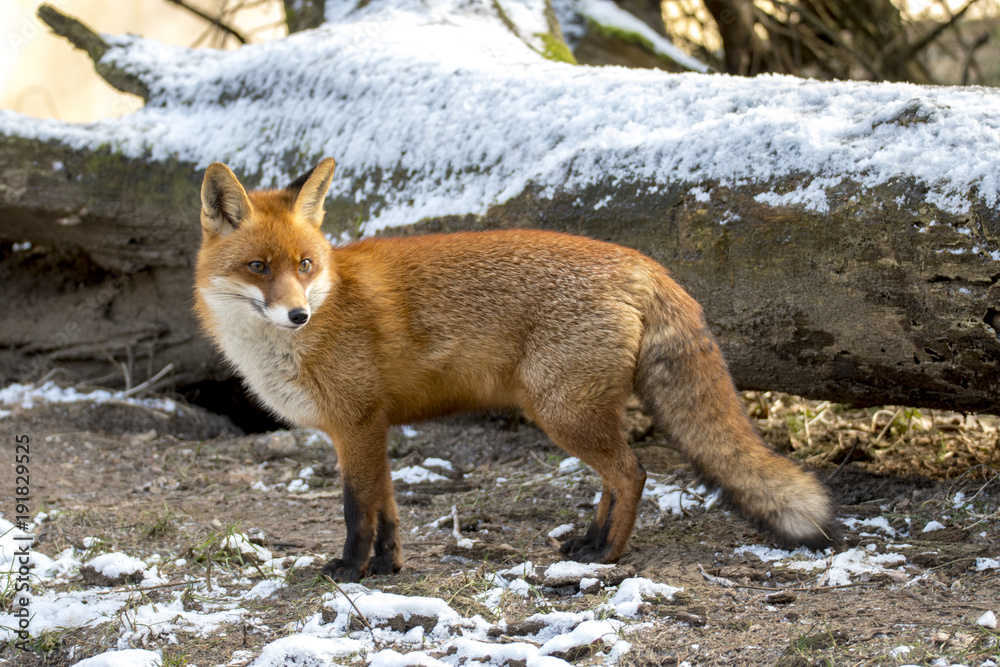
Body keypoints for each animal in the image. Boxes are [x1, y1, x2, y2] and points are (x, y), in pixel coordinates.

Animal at [194, 157, 839, 582]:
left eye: (305, 264)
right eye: (258, 267)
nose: (298, 314)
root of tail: (642, 262)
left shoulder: (356, 424)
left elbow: (358, 510)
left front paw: (349, 571)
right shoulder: (370, 428)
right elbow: (388, 510)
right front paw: (387, 568)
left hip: (562, 413)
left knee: (632, 474)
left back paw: (608, 556)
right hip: (576, 413)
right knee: (614, 480)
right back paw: (588, 541)